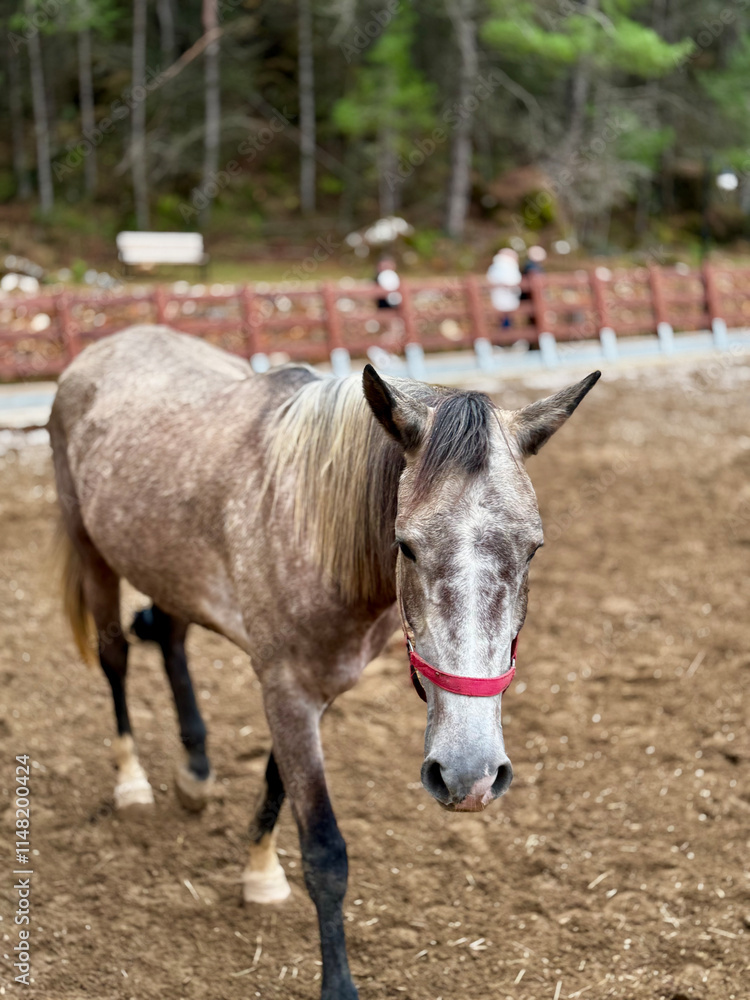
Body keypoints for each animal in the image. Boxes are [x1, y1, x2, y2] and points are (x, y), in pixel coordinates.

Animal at [49, 325, 599, 1000]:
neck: (310, 524)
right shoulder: (286, 686)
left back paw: (196, 771)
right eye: (406, 546)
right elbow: (324, 850)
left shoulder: (316, 686)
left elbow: (274, 780)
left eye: (534, 548)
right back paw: (130, 781)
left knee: (171, 637)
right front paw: (336, 981)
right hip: (90, 549)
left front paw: (258, 871)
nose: (469, 774)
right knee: (116, 656)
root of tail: (111, 343)